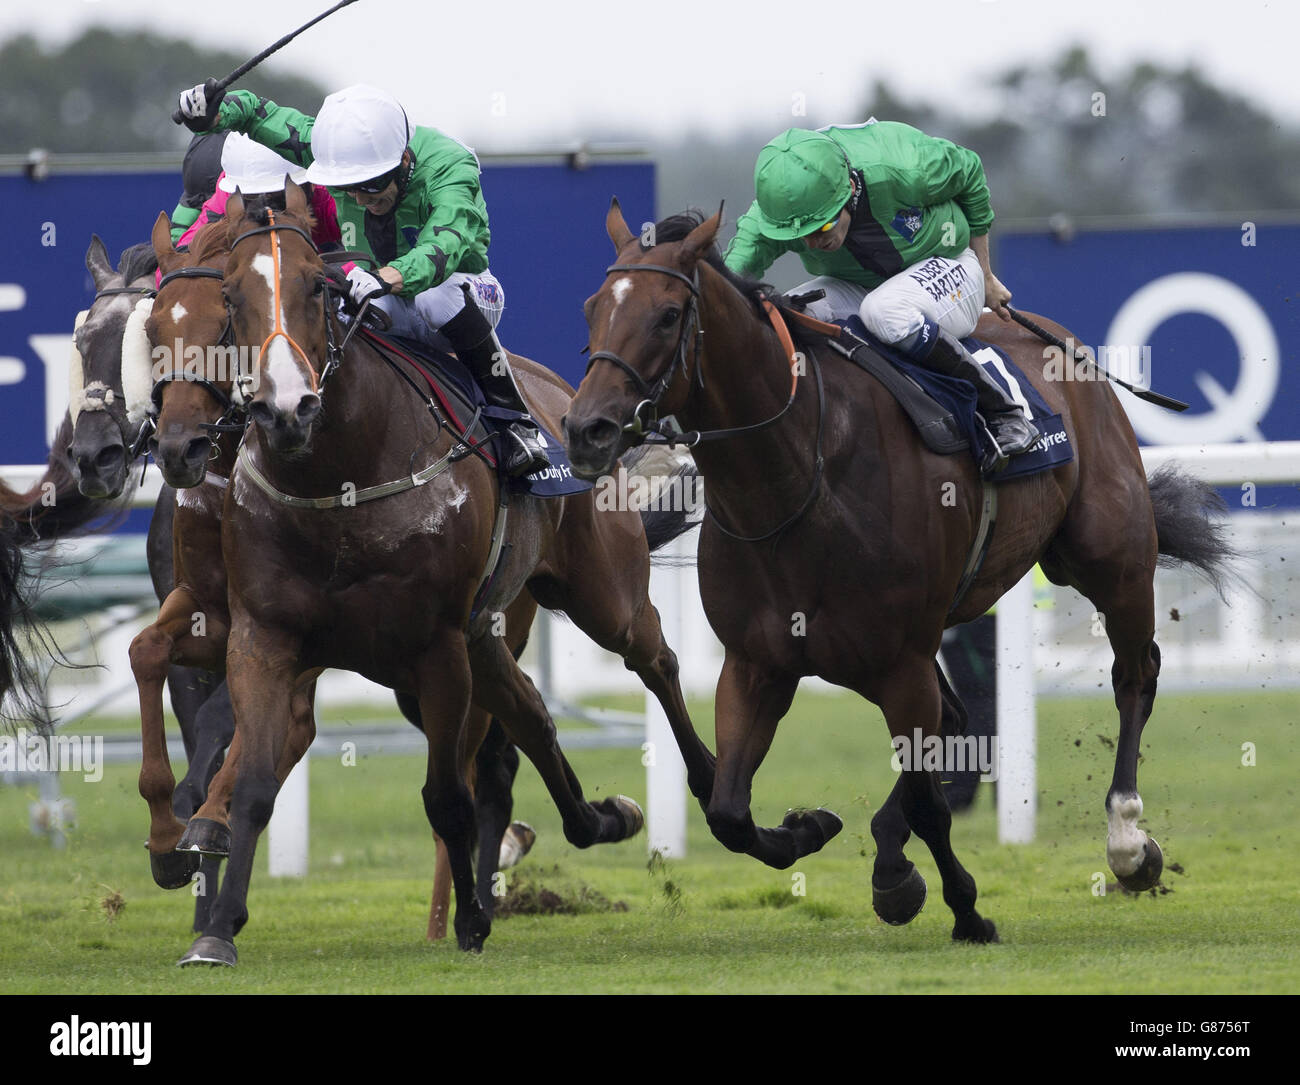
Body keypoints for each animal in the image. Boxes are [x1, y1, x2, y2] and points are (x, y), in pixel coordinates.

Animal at [175, 181, 712, 961]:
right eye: (229, 297)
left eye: (315, 286)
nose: (285, 409)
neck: (340, 481)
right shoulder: (264, 637)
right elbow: (248, 781)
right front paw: (216, 931)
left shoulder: (435, 646)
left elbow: (445, 798)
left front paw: (471, 920)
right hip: (487, 637)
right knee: (534, 720)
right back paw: (601, 817)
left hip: (599, 595)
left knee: (656, 661)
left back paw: (716, 792)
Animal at [564, 204, 1232, 940]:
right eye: (593, 308)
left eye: (667, 315)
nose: (586, 429)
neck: (798, 481)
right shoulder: (756, 661)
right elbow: (730, 812)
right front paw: (814, 829)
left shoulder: (901, 661)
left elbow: (930, 805)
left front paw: (966, 908)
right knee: (957, 714)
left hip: (1112, 559)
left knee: (1134, 674)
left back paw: (1128, 841)